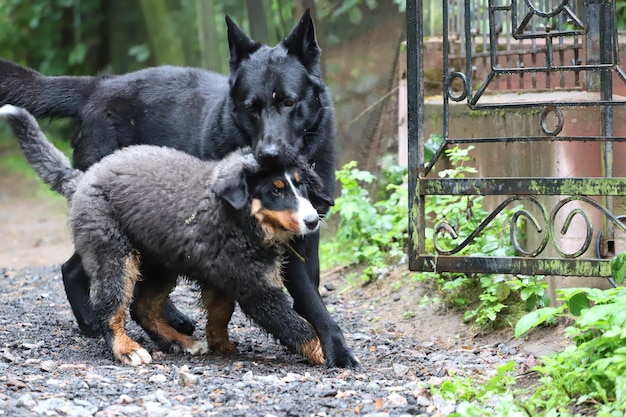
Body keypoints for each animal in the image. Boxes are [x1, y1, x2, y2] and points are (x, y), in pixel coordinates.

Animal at [0, 103, 330, 364]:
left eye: (301, 185)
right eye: (275, 191)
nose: (313, 221)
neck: (239, 217)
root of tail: (82, 179)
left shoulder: (222, 275)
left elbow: (220, 313)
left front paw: (220, 344)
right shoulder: (256, 287)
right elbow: (296, 326)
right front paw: (328, 354)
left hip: (161, 260)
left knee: (143, 307)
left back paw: (180, 342)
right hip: (115, 255)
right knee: (111, 309)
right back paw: (127, 349)